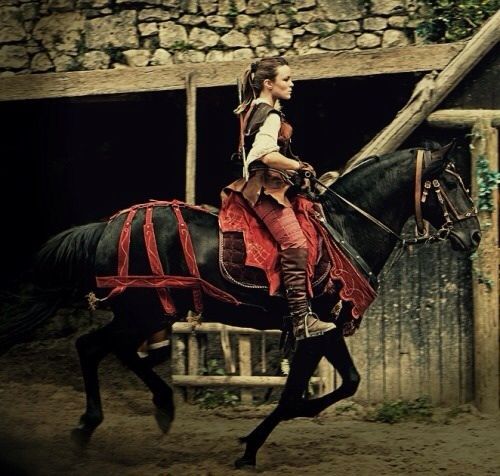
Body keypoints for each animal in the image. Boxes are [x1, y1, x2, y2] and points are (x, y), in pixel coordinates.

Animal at [2, 143, 480, 469]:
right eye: (451, 184)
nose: (473, 235)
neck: (344, 232)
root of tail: (108, 226)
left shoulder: (325, 329)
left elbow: (347, 383)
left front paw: (267, 433)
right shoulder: (312, 330)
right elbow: (293, 395)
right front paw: (250, 447)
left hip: (143, 313)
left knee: (97, 348)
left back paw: (106, 421)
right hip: (147, 312)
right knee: (100, 348)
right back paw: (149, 408)